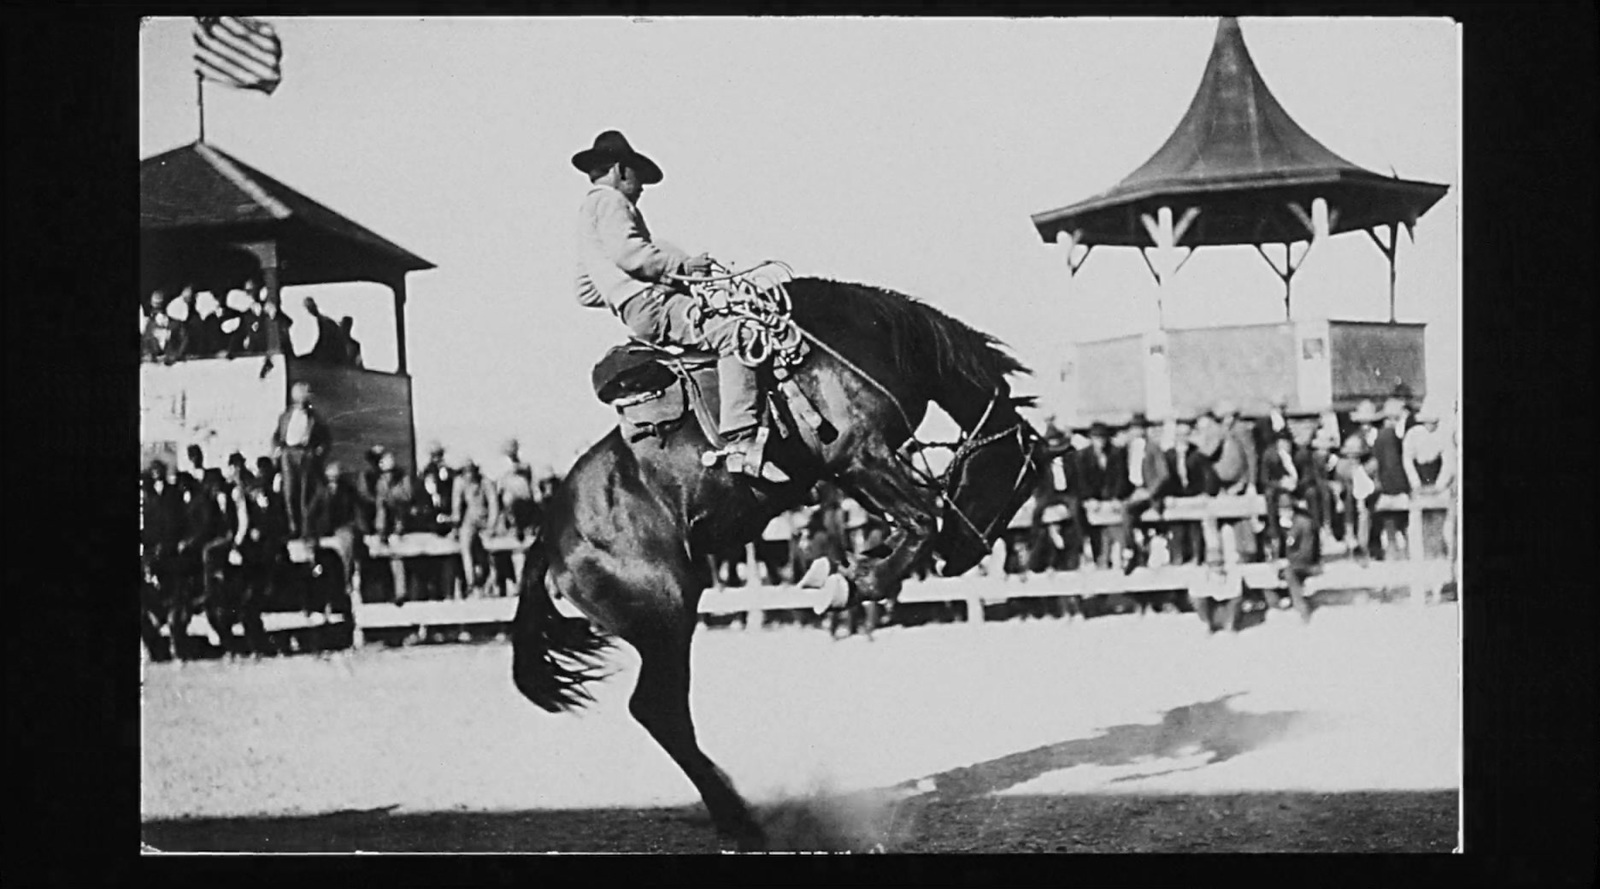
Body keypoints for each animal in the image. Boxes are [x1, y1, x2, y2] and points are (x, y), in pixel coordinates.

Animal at [505, 275, 1043, 850]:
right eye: (1017, 481)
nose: (965, 558)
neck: (866, 338)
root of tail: (552, 533)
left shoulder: (851, 470)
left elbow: (909, 523)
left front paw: (844, 572)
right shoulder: (860, 454)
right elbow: (923, 521)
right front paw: (850, 582)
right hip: (666, 618)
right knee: (659, 710)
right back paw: (741, 821)